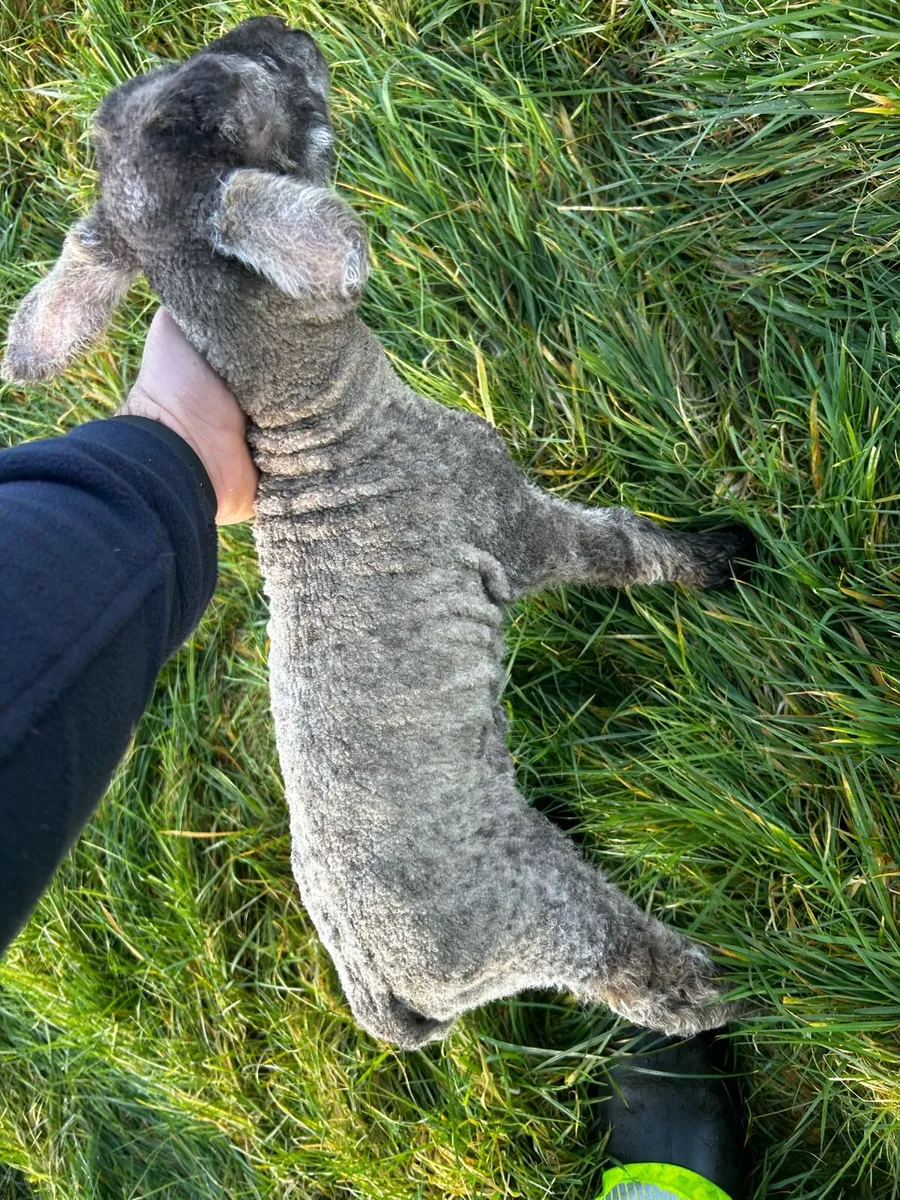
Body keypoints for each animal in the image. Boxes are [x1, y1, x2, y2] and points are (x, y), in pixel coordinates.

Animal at [3, 17, 754, 1049]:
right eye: (236, 94)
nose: (283, 27)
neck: (325, 423)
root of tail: (381, 991)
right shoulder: (506, 523)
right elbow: (626, 548)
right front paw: (722, 557)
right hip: (538, 915)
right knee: (639, 973)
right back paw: (746, 991)